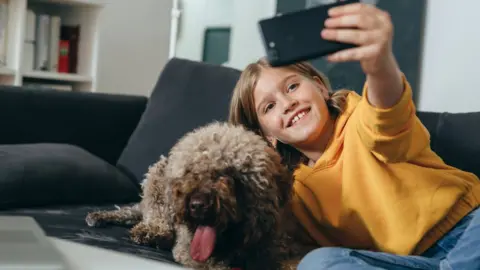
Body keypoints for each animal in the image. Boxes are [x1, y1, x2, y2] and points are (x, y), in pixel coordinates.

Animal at [85, 122, 316, 270]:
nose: (196, 205)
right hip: (156, 177)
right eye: (190, 172)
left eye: (229, 174)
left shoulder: (279, 247)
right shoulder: (191, 252)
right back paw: (153, 232)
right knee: (155, 217)